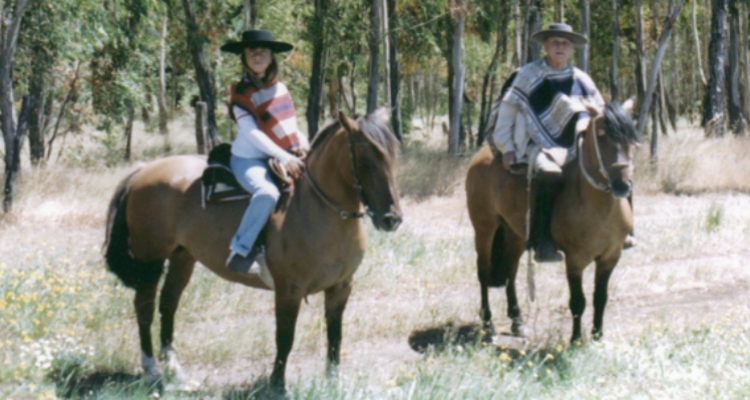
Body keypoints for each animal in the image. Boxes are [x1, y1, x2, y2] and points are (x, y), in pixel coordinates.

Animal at [104, 109, 406, 390]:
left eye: (393, 156)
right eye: (365, 159)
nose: (391, 219)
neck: (315, 207)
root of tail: (143, 171)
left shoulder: (341, 286)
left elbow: (335, 333)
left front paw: (332, 380)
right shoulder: (289, 290)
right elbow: (284, 337)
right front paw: (277, 385)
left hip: (182, 257)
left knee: (168, 304)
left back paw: (175, 371)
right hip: (150, 260)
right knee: (144, 308)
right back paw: (152, 372)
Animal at [470, 100, 640, 340]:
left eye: (630, 137)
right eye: (601, 135)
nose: (622, 186)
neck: (600, 207)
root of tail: (482, 154)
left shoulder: (610, 257)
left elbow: (600, 298)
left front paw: (597, 336)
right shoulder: (575, 259)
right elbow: (578, 301)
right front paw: (576, 339)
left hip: (514, 234)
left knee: (511, 270)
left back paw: (517, 322)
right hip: (484, 228)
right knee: (483, 271)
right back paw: (488, 324)